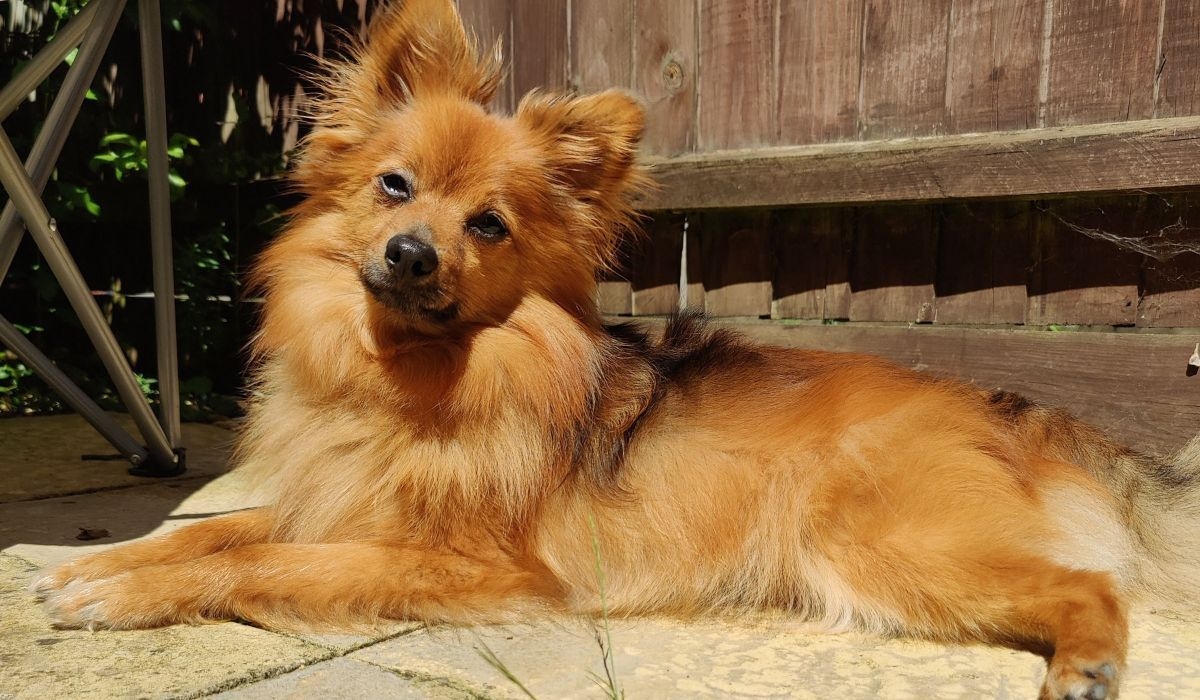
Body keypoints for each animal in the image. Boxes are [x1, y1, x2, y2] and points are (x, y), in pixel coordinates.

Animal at [30, 2, 1200, 696]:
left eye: (489, 225)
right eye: (394, 187)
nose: (410, 253)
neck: (411, 379)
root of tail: (1024, 414)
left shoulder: (465, 561)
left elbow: (256, 558)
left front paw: (120, 596)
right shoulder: (341, 498)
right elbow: (216, 530)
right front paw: (98, 566)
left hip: (876, 542)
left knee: (1095, 589)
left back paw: (1088, 668)